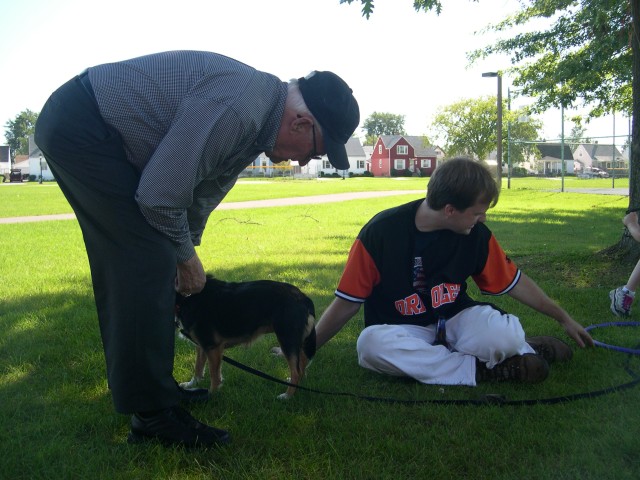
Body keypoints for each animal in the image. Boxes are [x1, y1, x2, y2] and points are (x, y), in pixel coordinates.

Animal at [175, 276, 318, 400]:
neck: (189, 297)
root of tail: (302, 297)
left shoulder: (212, 347)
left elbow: (214, 376)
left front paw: (211, 395)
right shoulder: (201, 345)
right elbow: (198, 368)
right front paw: (191, 384)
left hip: (287, 340)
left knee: (296, 372)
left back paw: (287, 396)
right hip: (296, 342)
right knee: (302, 366)